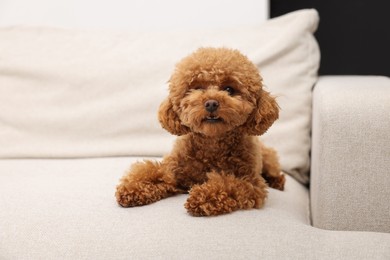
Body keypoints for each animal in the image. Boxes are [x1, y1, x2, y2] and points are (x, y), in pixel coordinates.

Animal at [114, 47, 284, 216]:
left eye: (229, 89)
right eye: (197, 88)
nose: (211, 103)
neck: (212, 144)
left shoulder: (252, 184)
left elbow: (229, 184)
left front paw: (203, 197)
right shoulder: (174, 171)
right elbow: (153, 172)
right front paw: (132, 188)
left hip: (268, 157)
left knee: (275, 171)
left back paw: (278, 182)